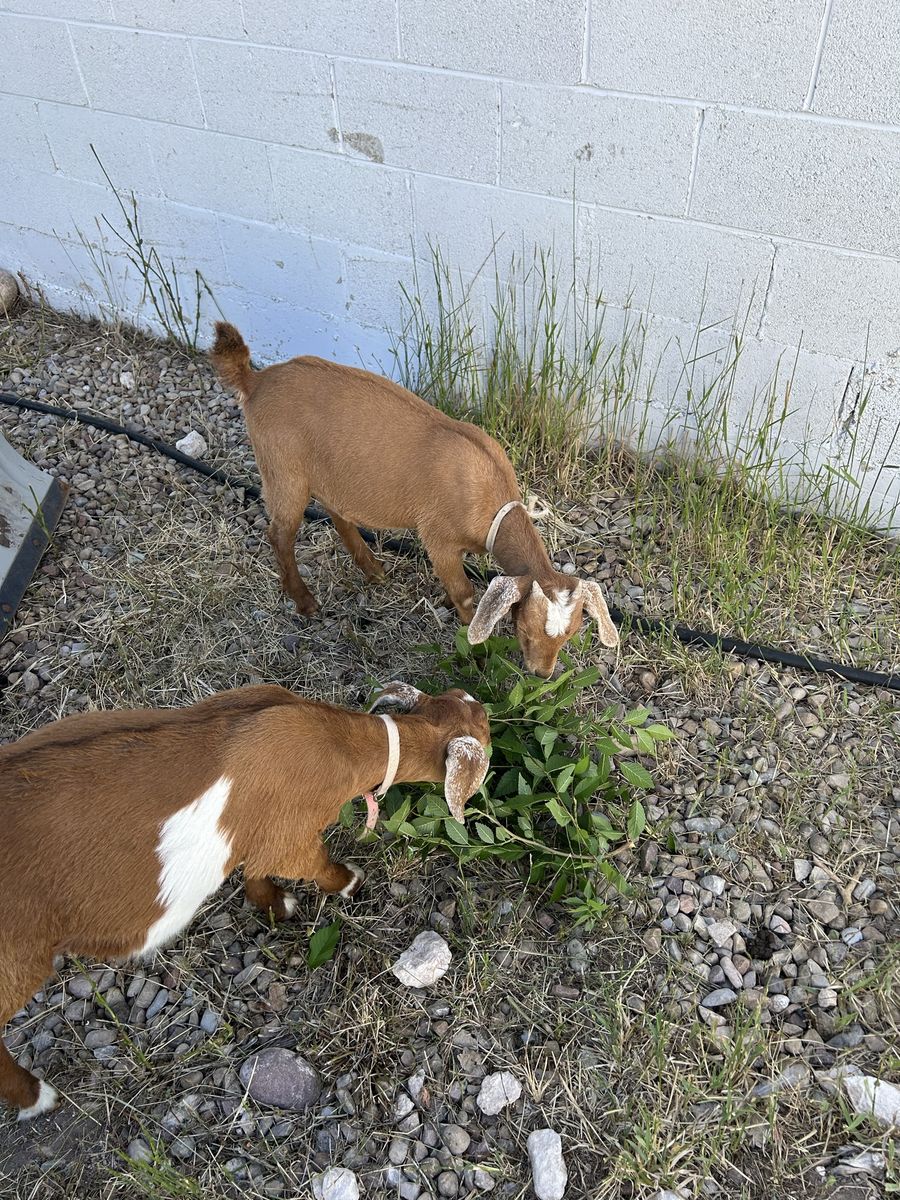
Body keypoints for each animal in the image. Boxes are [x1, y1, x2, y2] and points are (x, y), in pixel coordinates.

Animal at [0, 682, 489, 1119]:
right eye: (484, 730)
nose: (490, 717)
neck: (344, 744)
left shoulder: (261, 835)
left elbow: (254, 867)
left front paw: (274, 905)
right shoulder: (294, 835)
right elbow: (314, 865)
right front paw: (349, 882)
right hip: (14, 964)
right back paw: (36, 1097)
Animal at [210, 322, 619, 677]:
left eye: (571, 634)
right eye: (528, 630)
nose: (542, 674)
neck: (490, 499)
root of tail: (256, 380)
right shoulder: (438, 538)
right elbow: (464, 593)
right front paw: (473, 641)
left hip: (325, 472)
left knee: (337, 512)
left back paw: (372, 568)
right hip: (284, 470)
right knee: (279, 533)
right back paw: (306, 602)